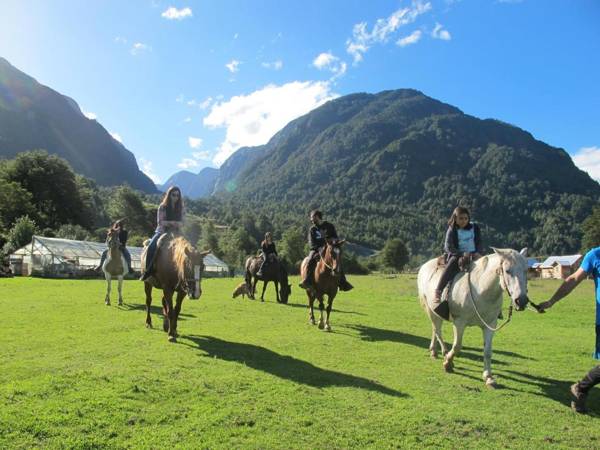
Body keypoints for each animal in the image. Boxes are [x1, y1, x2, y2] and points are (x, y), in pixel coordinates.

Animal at [420, 246, 528, 386]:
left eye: (526, 271)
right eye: (507, 271)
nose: (522, 301)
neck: (481, 290)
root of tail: (424, 266)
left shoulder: (490, 325)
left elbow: (487, 351)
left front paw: (488, 377)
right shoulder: (459, 323)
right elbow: (457, 346)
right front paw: (448, 364)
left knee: (435, 330)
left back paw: (435, 351)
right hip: (430, 309)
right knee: (437, 330)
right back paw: (441, 353)